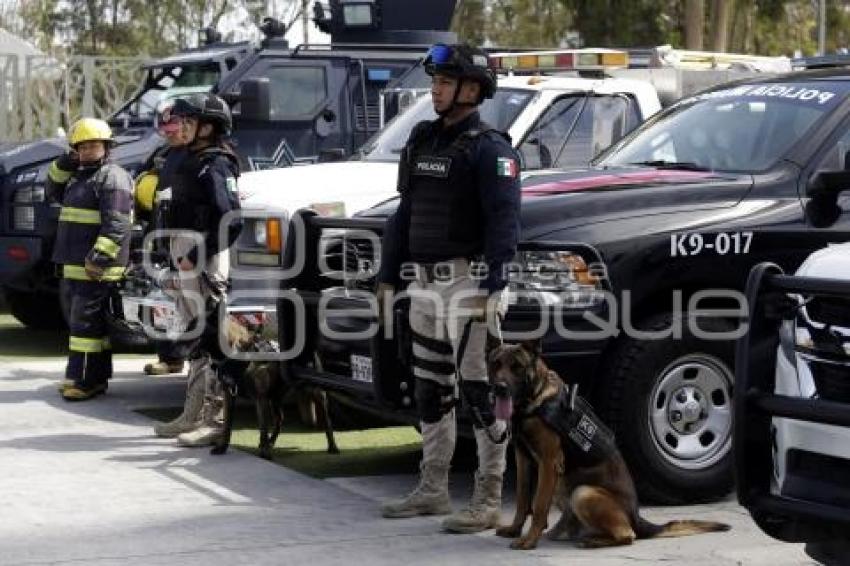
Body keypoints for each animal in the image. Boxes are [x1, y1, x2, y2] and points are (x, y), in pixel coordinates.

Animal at [486, 344, 724, 552]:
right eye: (496, 365)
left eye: (517, 366)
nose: (499, 388)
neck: (536, 399)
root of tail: (637, 518)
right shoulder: (523, 459)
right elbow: (522, 498)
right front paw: (515, 529)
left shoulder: (548, 461)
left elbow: (539, 505)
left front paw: (529, 540)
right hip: (565, 488)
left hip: (583, 493)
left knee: (627, 535)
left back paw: (591, 541)